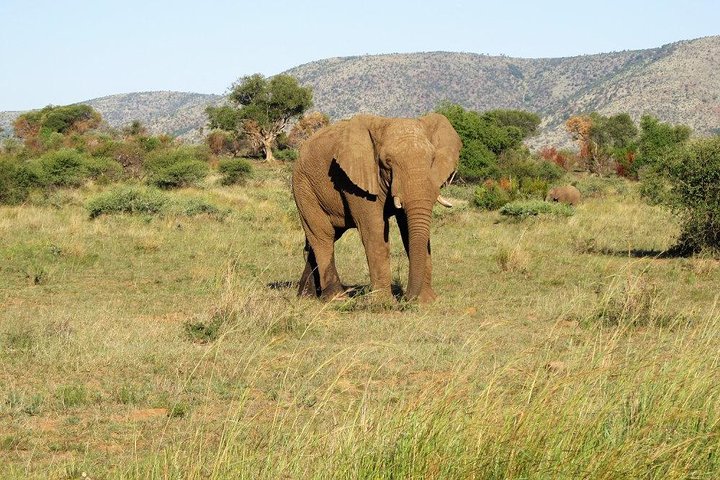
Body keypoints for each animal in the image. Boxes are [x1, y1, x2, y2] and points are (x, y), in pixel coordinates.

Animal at [292, 113, 461, 303]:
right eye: (387, 162)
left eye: (432, 159)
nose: (406, 297)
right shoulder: (354, 180)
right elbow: (375, 229)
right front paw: (383, 303)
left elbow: (408, 231)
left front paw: (426, 302)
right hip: (304, 187)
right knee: (323, 236)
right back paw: (336, 298)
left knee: (322, 238)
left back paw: (306, 296)